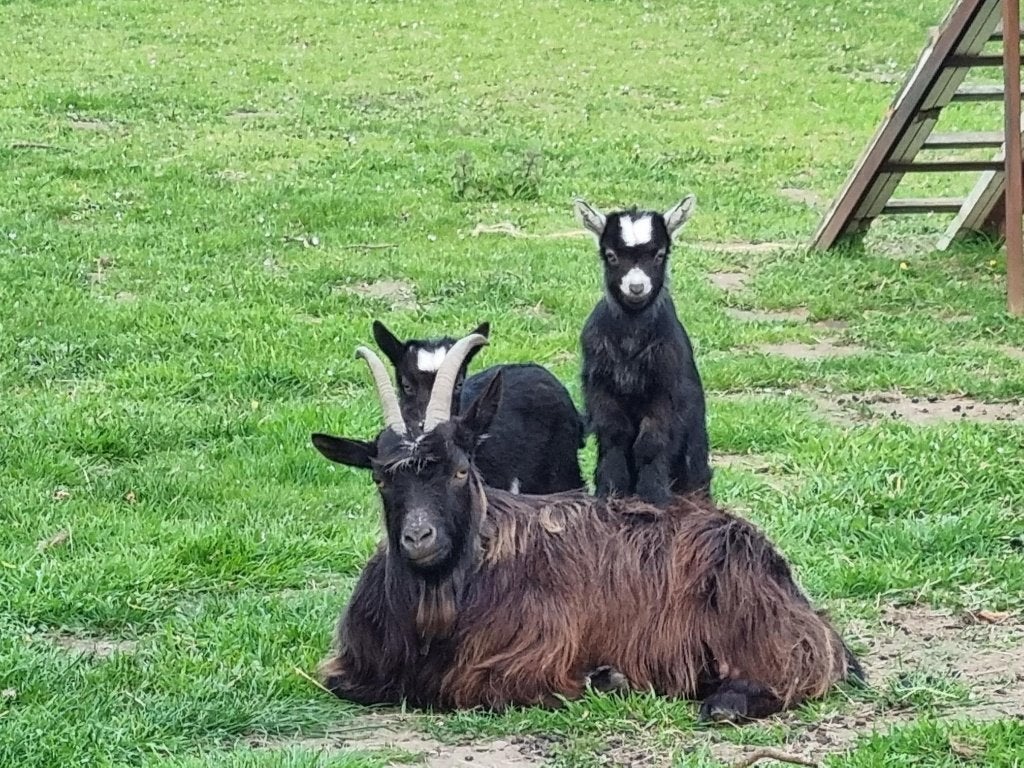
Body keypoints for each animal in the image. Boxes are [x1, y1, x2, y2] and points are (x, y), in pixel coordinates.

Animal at [574, 196, 711, 505]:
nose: (636, 287)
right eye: (611, 255)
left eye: (660, 254)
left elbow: (650, 443)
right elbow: (615, 435)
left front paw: (653, 496)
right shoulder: (600, 387)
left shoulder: (665, 390)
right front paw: (611, 490)